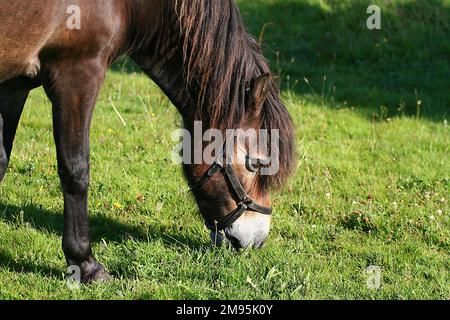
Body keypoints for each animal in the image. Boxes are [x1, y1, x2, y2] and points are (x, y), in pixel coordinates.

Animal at [0, 0, 296, 282]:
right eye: (257, 163)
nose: (257, 240)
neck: (130, 5)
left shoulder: (15, 85)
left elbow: (2, 163)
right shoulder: (77, 75)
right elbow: (76, 171)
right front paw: (85, 264)